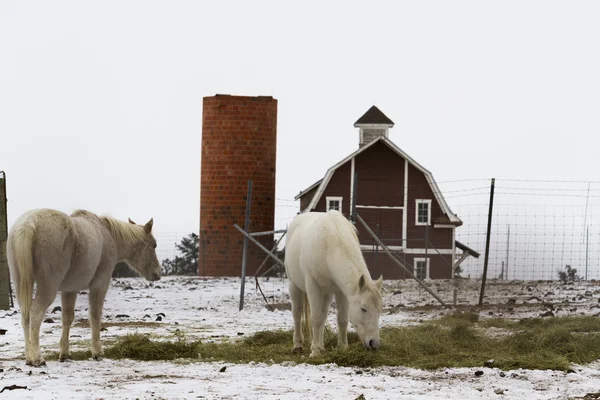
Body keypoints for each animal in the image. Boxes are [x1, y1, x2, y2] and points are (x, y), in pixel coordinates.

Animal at [6, 208, 162, 368]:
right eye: (154, 245)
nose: (157, 274)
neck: (107, 234)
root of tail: (27, 224)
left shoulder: (69, 290)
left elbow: (67, 318)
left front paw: (65, 354)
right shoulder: (99, 285)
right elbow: (95, 316)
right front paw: (98, 352)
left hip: (21, 284)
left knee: (25, 317)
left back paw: (29, 358)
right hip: (47, 287)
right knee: (35, 314)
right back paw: (37, 358)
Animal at [282, 209, 382, 356]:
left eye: (380, 310)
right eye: (363, 309)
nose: (374, 344)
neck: (330, 246)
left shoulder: (342, 292)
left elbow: (342, 319)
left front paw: (342, 347)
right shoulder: (313, 287)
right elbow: (316, 318)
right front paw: (315, 351)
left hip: (326, 294)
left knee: (323, 315)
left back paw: (321, 346)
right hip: (294, 285)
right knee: (297, 313)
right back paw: (298, 345)